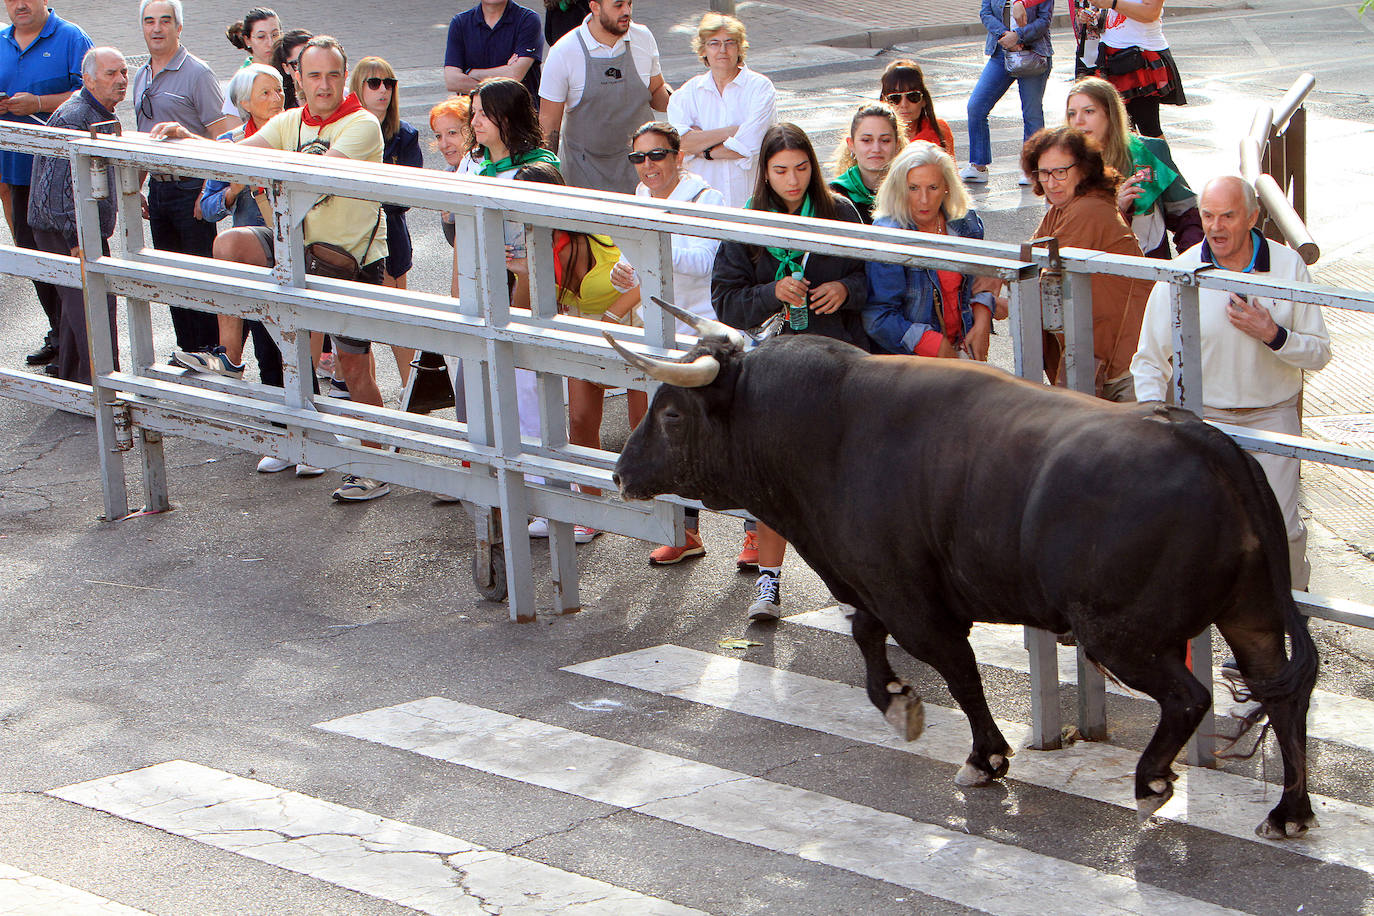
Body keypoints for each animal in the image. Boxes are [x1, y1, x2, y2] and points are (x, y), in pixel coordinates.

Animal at [610, 325, 1319, 840]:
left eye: (672, 414)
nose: (619, 473)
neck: (829, 429)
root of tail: (1208, 441)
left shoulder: (913, 599)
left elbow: (958, 671)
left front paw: (984, 757)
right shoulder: (878, 582)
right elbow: (867, 636)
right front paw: (896, 700)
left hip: (1122, 634)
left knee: (1190, 698)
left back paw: (1150, 782)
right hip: (1251, 616)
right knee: (1282, 695)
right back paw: (1289, 812)